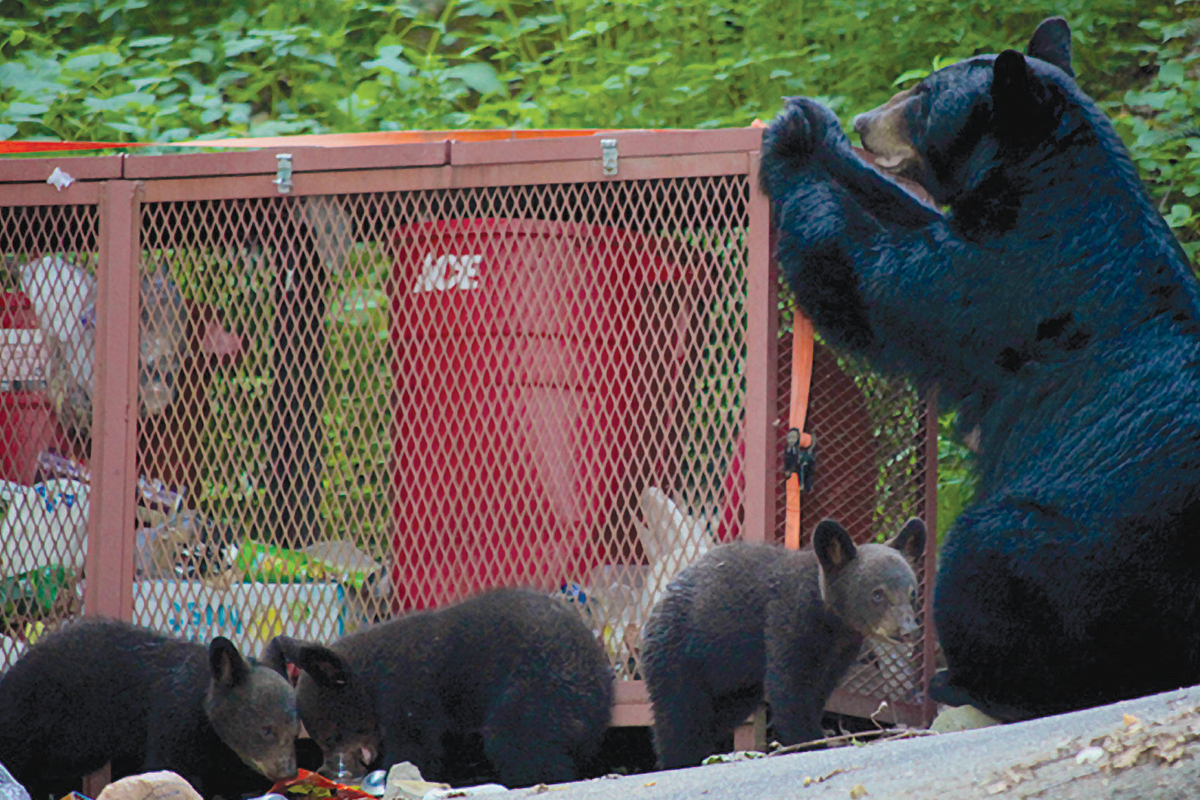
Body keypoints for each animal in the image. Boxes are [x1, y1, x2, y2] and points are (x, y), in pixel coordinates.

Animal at [0, 618, 298, 800]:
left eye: (295, 733)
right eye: (267, 730)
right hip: (35, 714)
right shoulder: (172, 716)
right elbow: (169, 765)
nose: (289, 772)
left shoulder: (217, 749)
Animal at [266, 585, 614, 791]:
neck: (372, 686)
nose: (325, 770)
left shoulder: (410, 696)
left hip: (535, 690)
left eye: (331, 737)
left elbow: (414, 748)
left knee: (519, 741)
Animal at [643, 520, 921, 767]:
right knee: (679, 717)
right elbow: (789, 688)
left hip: (735, 683)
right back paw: (678, 760)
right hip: (678, 656)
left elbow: (817, 691)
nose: (907, 630)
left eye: (912, 593)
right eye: (877, 594)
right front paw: (809, 741)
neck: (830, 623)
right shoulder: (787, 622)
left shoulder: (838, 653)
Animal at [758, 17, 1200, 719]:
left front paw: (796, 143)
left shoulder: (1017, 281)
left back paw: (963, 681)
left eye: (924, 94)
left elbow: (879, 280)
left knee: (986, 557)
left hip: (1087, 557)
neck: (1046, 187)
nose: (863, 120)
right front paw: (815, 124)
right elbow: (905, 214)